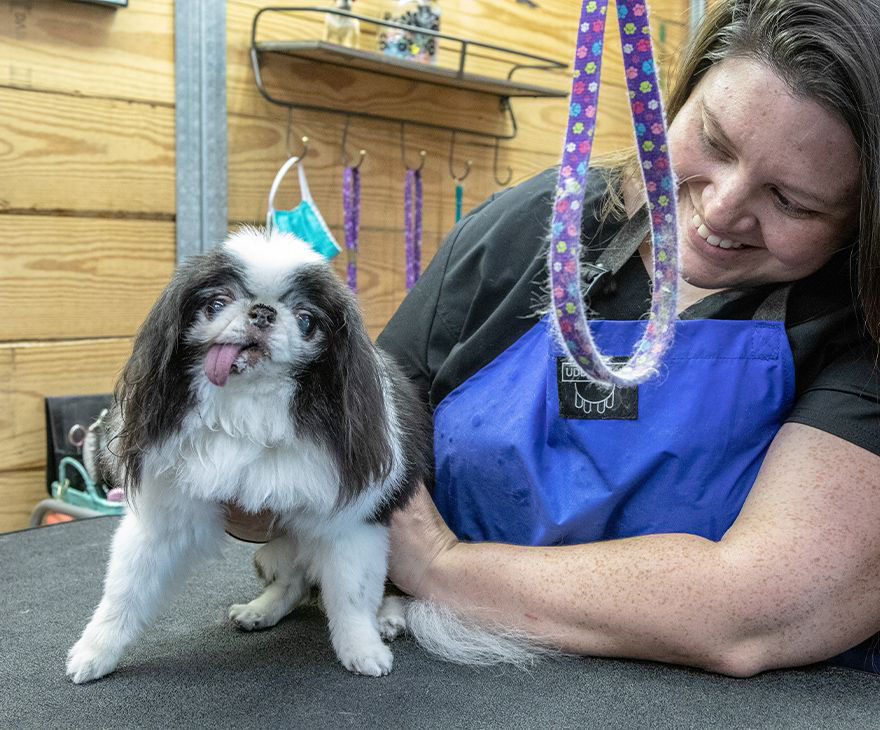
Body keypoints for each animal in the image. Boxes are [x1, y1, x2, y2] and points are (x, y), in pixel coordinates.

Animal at [65, 228, 430, 684]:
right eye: (216, 304)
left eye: (306, 319)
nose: (263, 312)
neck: (250, 406)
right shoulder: (166, 517)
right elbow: (123, 594)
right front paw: (95, 652)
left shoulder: (350, 526)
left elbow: (352, 598)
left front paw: (362, 650)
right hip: (278, 546)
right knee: (293, 581)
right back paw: (261, 611)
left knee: (385, 591)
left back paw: (387, 619)